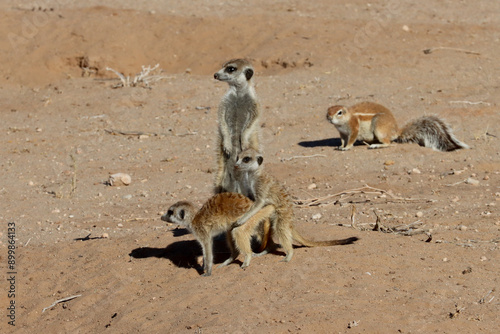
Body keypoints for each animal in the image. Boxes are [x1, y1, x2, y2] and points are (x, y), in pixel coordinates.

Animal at [213, 57, 262, 193]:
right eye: (223, 66)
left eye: (231, 69)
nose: (215, 75)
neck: (238, 93)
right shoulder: (224, 102)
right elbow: (221, 119)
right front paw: (227, 144)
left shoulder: (254, 104)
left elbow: (253, 121)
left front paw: (244, 140)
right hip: (221, 171)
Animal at [230, 147, 360, 262]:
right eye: (237, 157)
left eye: (246, 159)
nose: (236, 164)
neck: (253, 174)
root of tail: (291, 221)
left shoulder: (261, 184)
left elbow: (259, 202)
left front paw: (241, 220)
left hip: (283, 213)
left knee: (281, 228)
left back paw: (289, 254)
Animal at [326, 102, 470, 151]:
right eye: (327, 111)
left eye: (339, 112)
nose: (329, 117)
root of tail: (396, 131)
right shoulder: (342, 133)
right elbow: (343, 140)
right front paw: (341, 146)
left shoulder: (354, 127)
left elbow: (351, 139)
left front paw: (347, 147)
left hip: (379, 127)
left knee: (388, 143)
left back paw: (376, 145)